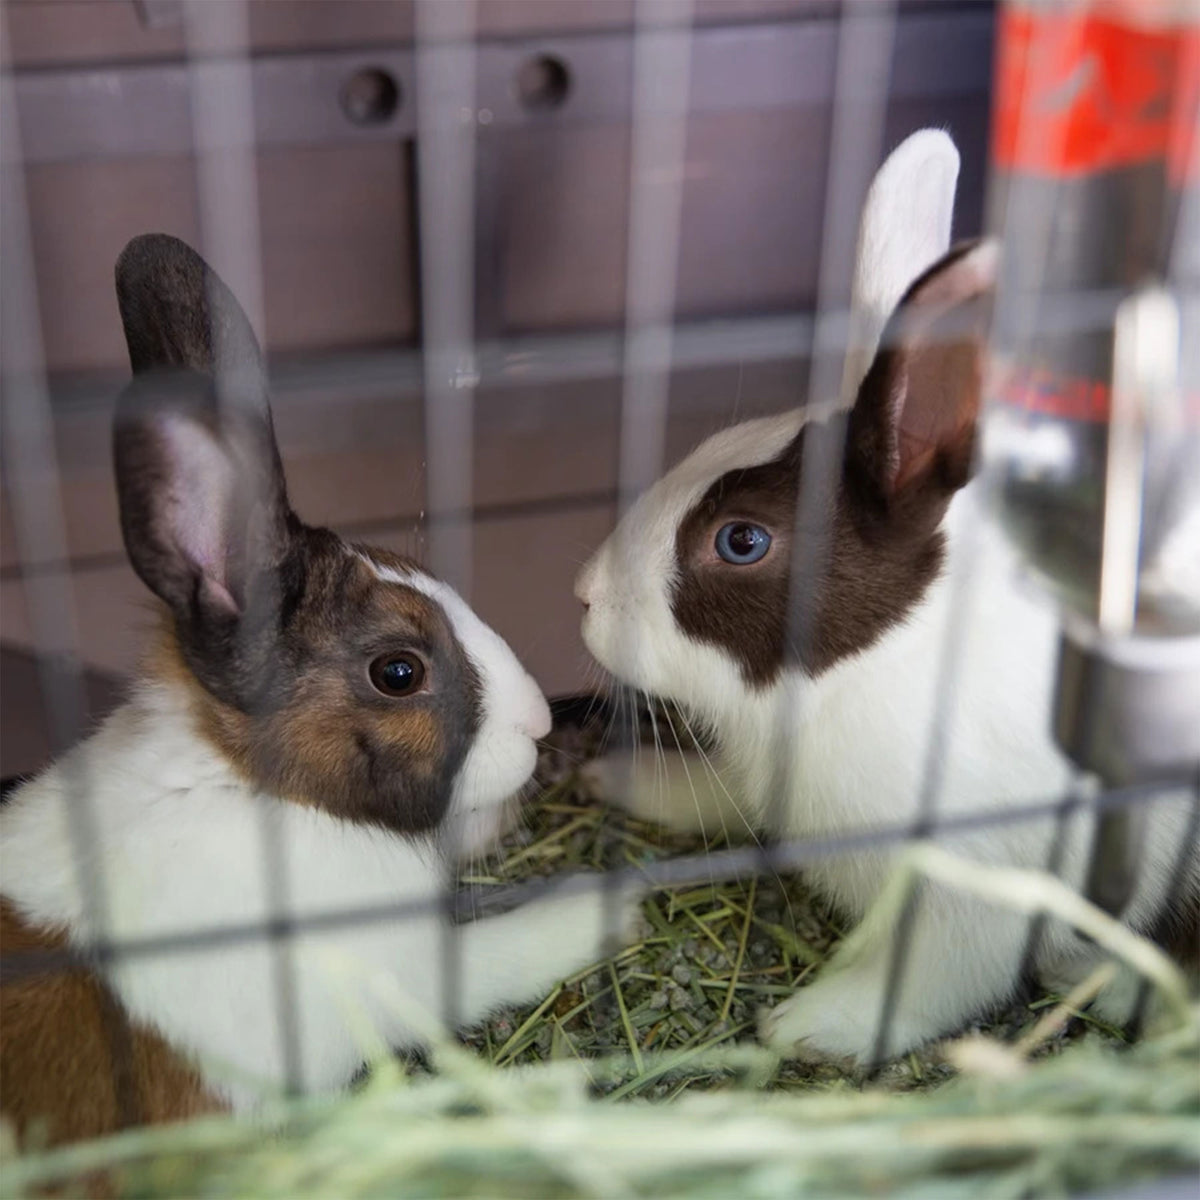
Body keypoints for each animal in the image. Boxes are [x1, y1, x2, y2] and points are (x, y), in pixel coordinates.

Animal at [0, 233, 642, 1149]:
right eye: (399, 673)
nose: (538, 721)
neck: (253, 785)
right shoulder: (407, 974)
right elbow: (498, 953)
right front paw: (610, 905)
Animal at [574, 130, 1199, 1066]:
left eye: (742, 540)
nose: (582, 596)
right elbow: (723, 798)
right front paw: (625, 778)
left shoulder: (978, 899)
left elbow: (925, 984)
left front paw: (808, 1023)